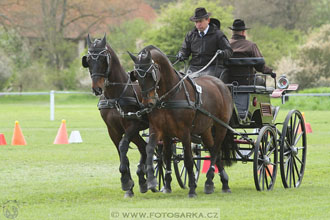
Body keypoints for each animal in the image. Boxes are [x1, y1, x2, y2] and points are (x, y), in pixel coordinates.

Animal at [82, 34, 149, 198]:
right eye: (88, 60)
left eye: (103, 59)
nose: (97, 88)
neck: (116, 96)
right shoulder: (113, 130)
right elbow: (121, 152)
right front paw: (129, 185)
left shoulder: (133, 125)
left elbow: (123, 146)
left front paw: (125, 180)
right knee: (144, 147)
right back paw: (143, 179)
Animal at [130, 45, 237, 197]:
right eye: (137, 76)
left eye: (150, 74)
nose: (147, 103)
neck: (169, 96)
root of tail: (222, 85)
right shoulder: (160, 130)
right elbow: (157, 152)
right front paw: (156, 181)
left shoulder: (185, 132)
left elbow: (188, 159)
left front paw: (192, 188)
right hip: (205, 130)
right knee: (213, 150)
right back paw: (220, 182)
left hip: (221, 126)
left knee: (216, 150)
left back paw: (210, 180)